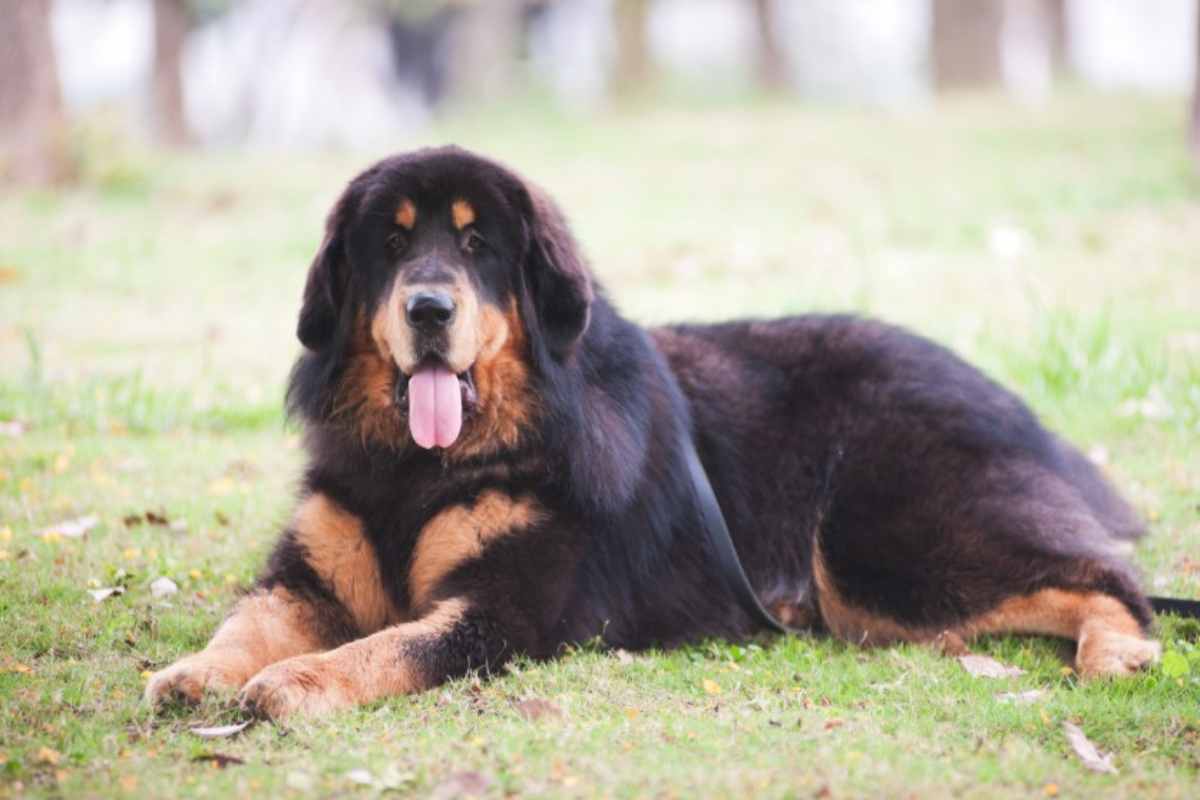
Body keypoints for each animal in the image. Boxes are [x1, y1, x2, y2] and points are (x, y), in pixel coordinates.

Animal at [145, 145, 1156, 719]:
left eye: (476, 246)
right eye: (389, 245)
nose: (429, 308)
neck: (424, 468)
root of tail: (1004, 398)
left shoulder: (503, 610)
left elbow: (381, 647)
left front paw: (297, 684)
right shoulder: (308, 576)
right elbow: (248, 622)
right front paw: (198, 671)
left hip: (881, 548)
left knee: (1112, 579)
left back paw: (1120, 653)